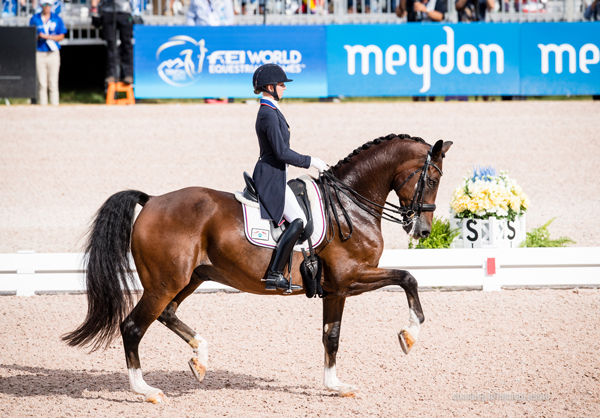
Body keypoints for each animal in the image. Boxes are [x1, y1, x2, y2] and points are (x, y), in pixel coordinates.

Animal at [63, 133, 452, 402]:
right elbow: (406, 280)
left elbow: (332, 334)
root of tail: (153, 200)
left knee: (167, 314)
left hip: (190, 277)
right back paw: (146, 391)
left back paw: (200, 359)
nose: (423, 231)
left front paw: (335, 384)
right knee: (133, 327)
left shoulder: (336, 288)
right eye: (432, 180)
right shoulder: (349, 279)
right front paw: (408, 336)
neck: (349, 204)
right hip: (165, 282)